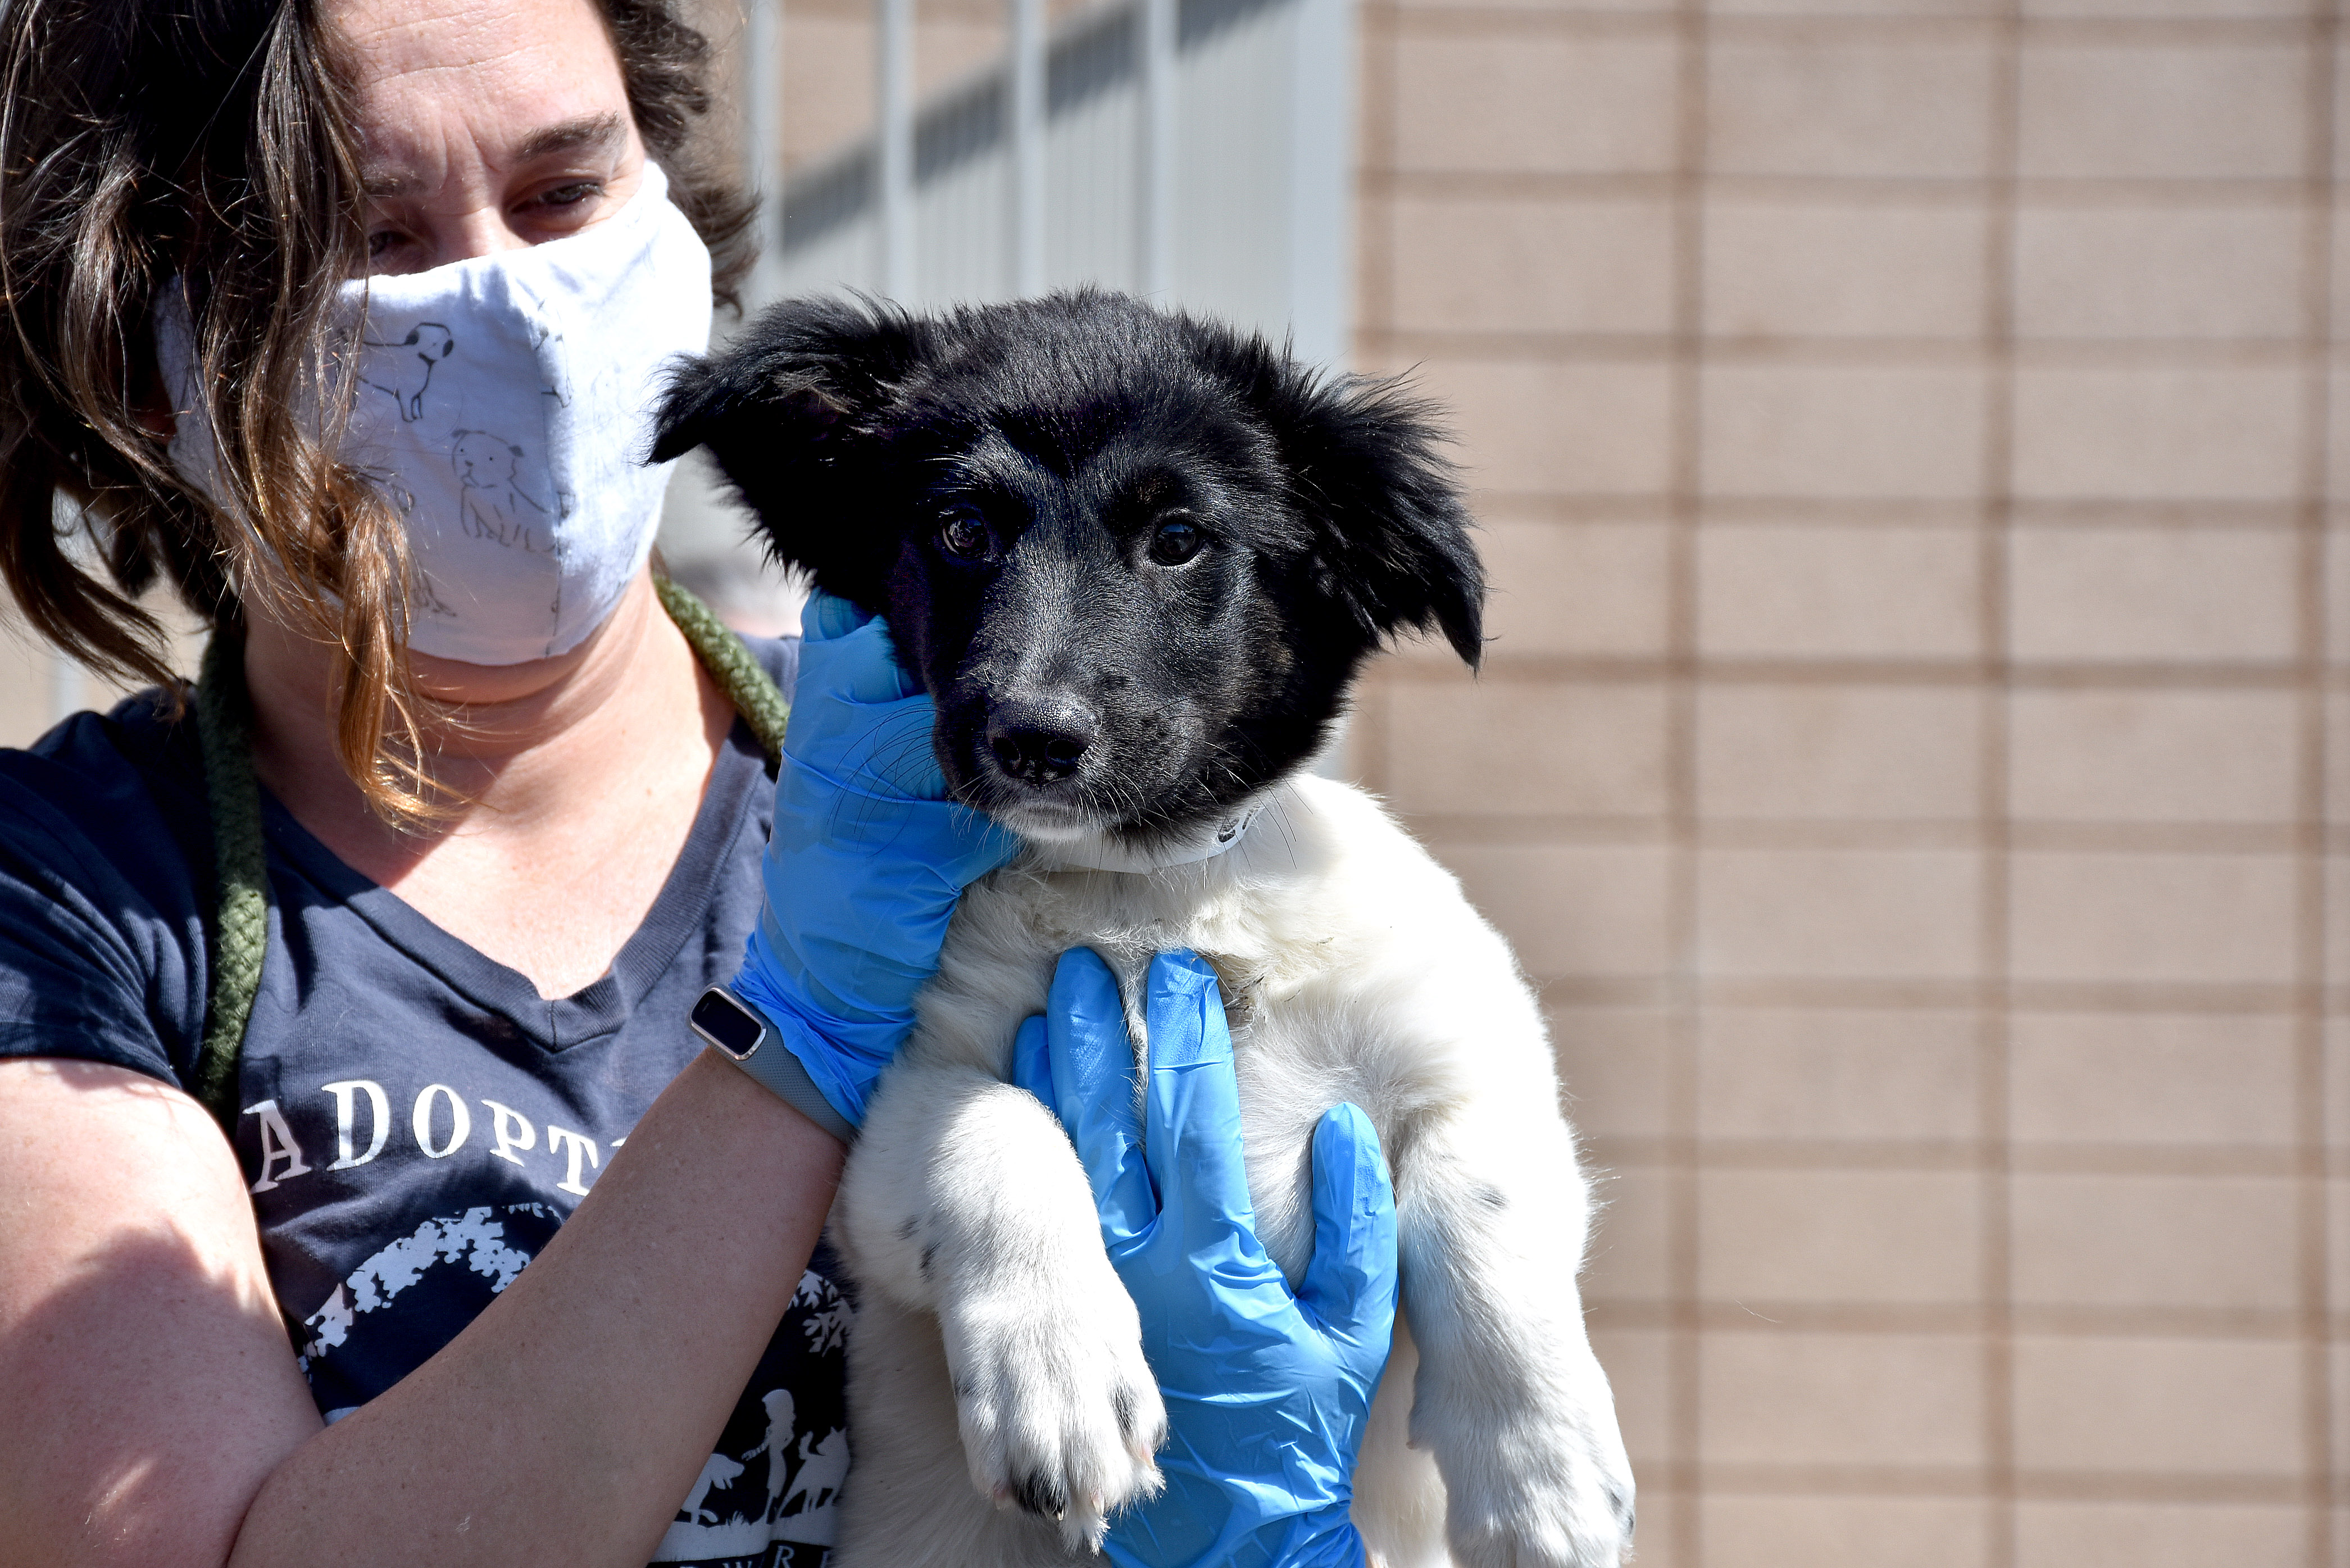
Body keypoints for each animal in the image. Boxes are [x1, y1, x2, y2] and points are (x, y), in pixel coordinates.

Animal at [648, 294, 1635, 1568]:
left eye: (1177, 538)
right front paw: (1063, 1382)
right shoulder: (884, 1137)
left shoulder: (1476, 1063)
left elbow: (1483, 1209)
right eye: (960, 528)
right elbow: (996, 1131)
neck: (1145, 900)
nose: (1033, 735)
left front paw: (1544, 1476)